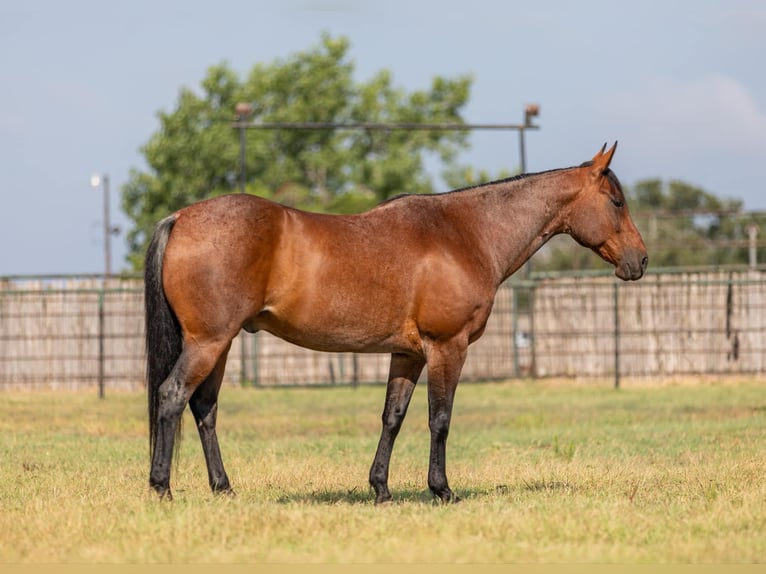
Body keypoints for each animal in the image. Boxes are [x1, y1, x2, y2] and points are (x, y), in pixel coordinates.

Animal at [145, 142, 647, 504]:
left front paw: (381, 489)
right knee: (172, 396)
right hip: (208, 342)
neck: (466, 233)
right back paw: (162, 488)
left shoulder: (406, 354)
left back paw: (223, 488)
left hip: (220, 344)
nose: (640, 261)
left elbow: (393, 417)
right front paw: (442, 490)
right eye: (617, 202)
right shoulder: (447, 347)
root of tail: (181, 217)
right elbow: (439, 419)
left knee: (204, 408)